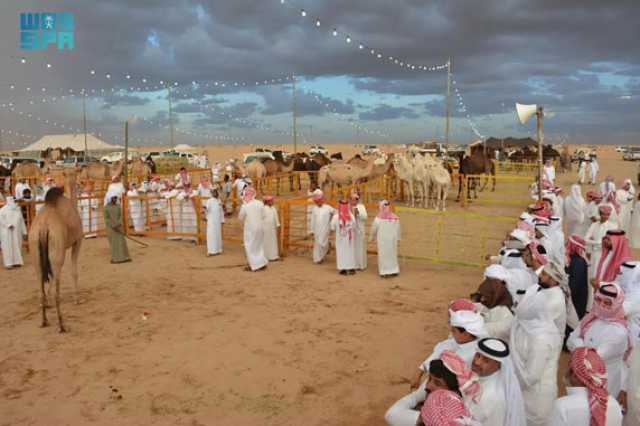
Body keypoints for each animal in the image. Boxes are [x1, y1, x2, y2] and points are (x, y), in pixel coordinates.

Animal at [28, 174, 82, 332]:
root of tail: (43, 228)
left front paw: (47, 303)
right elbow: (74, 272)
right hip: (57, 252)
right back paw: (61, 325)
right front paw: (77, 299)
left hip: (35, 253)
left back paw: (44, 320)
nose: (81, 184)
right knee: (57, 285)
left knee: (40, 286)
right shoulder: (78, 241)